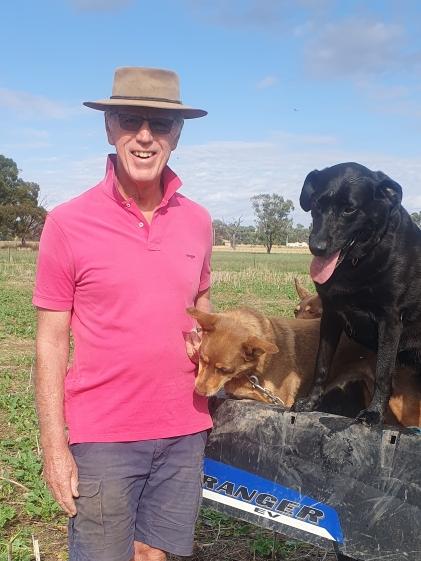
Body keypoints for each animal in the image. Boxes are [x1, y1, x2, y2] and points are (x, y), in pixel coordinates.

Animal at [294, 160, 420, 422]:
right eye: (316, 204)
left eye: (349, 210)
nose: (316, 247)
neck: (357, 263)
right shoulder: (331, 315)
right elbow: (321, 364)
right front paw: (311, 401)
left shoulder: (390, 320)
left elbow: (383, 371)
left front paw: (374, 413)